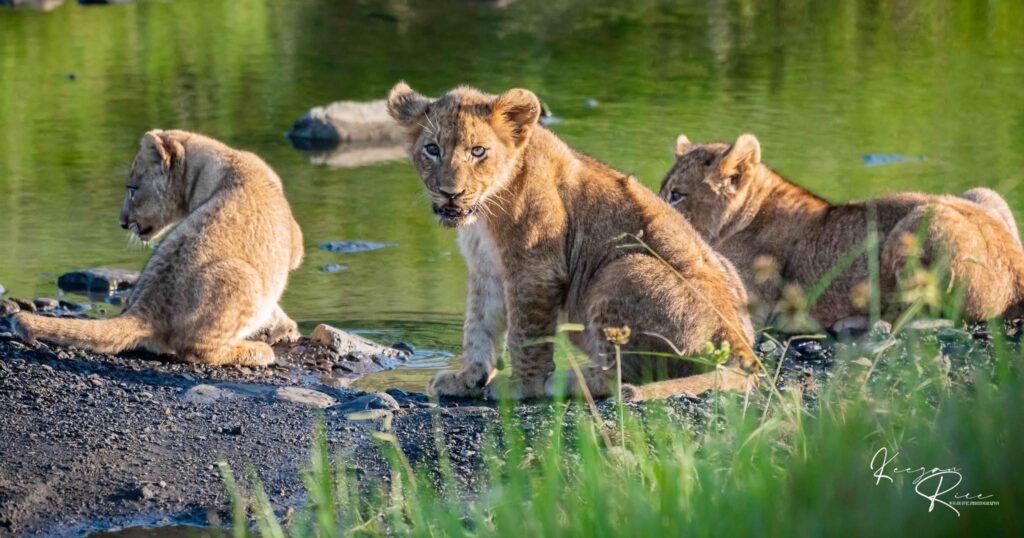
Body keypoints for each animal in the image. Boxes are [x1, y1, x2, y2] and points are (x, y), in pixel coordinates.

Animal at [13, 130, 304, 365]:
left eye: (133, 189)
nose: (122, 222)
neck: (219, 161)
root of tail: (144, 309)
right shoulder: (294, 248)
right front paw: (285, 329)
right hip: (243, 275)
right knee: (196, 350)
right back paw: (256, 351)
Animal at [387, 82, 757, 400]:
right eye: (432, 149)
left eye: (478, 152)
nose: (450, 193)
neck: (485, 212)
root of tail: (742, 349)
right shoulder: (486, 269)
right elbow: (478, 326)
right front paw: (467, 379)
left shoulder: (535, 269)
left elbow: (526, 334)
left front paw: (522, 386)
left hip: (622, 268)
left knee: (623, 376)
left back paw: (565, 381)